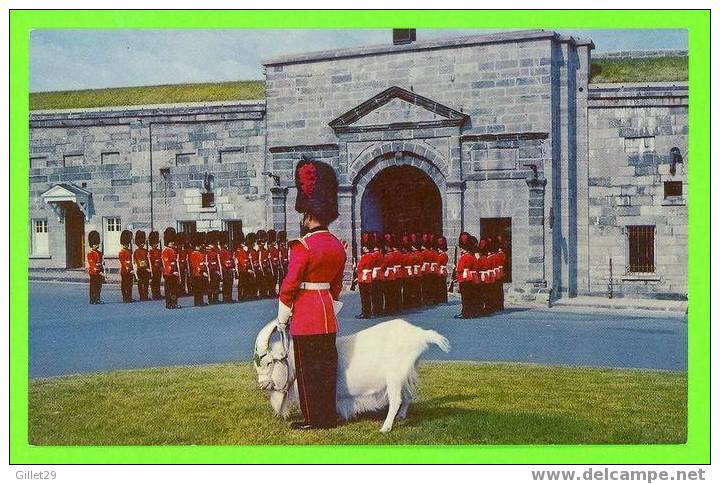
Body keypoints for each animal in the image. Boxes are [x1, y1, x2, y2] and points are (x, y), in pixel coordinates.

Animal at [255, 320, 450, 432]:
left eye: (268, 362)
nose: (262, 385)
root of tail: (421, 335)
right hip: (407, 373)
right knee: (408, 395)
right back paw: (401, 417)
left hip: (394, 376)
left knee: (396, 400)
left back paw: (385, 428)